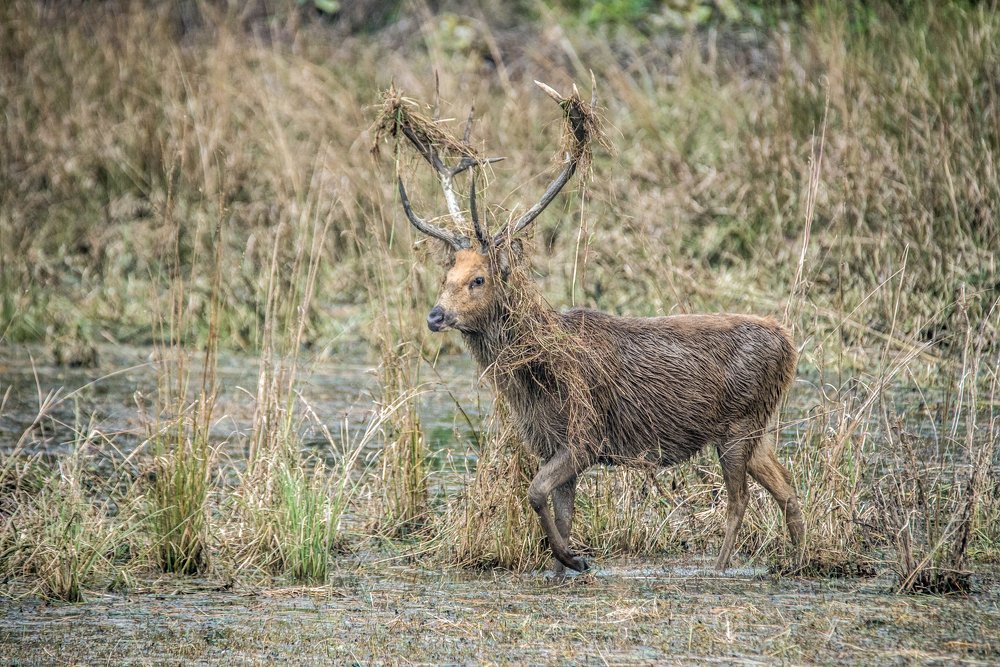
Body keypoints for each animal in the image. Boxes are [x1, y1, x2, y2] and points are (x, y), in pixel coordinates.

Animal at [377, 80, 805, 574]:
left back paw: (719, 569)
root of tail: (789, 343)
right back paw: (798, 559)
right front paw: (564, 562)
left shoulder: (585, 435)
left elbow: (535, 492)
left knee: (740, 500)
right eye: (446, 275)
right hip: (758, 426)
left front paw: (576, 558)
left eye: (478, 279)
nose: (435, 315)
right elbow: (560, 512)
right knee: (787, 488)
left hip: (738, 424)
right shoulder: (549, 443)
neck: (533, 382)